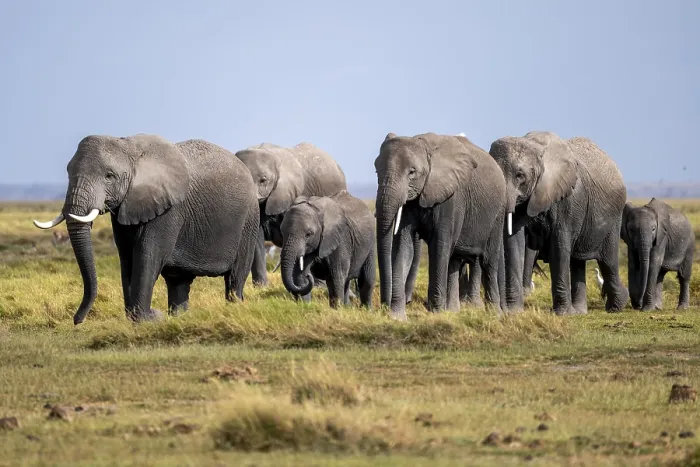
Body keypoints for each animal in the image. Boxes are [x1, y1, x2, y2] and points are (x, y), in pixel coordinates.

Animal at [33, 134, 260, 324]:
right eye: (68, 172)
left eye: (109, 176)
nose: (77, 320)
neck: (128, 148)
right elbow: (127, 258)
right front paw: (140, 318)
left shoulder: (169, 209)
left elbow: (147, 255)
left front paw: (147, 318)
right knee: (179, 281)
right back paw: (178, 318)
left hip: (249, 221)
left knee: (235, 277)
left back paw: (233, 311)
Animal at [374, 132, 507, 320]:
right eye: (376, 170)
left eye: (412, 172)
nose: (383, 306)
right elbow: (403, 247)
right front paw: (397, 317)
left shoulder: (451, 198)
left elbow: (439, 246)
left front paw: (436, 313)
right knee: (454, 260)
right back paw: (453, 311)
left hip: (497, 212)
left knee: (489, 260)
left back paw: (495, 314)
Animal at [489, 131, 629, 315]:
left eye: (520, 175)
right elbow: (514, 243)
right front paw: (514, 312)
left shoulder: (568, 199)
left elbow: (559, 245)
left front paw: (562, 314)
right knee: (577, 262)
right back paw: (580, 311)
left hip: (613, 218)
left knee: (608, 262)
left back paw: (616, 306)